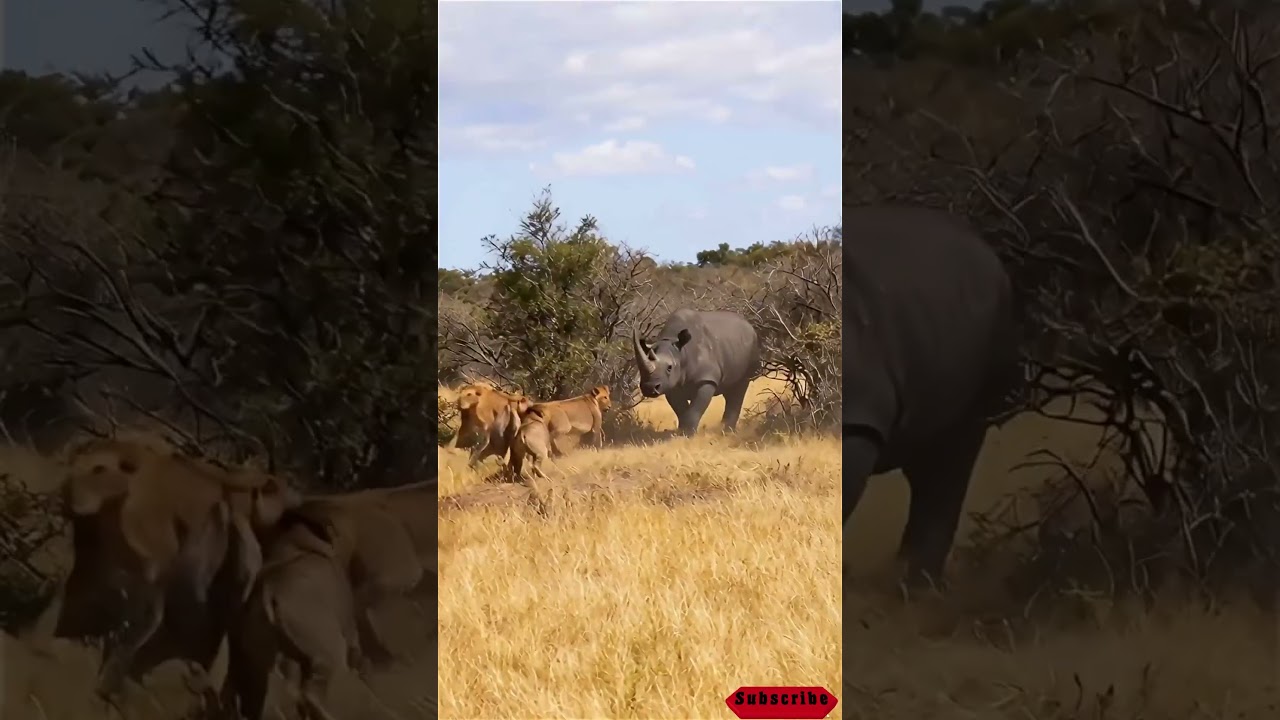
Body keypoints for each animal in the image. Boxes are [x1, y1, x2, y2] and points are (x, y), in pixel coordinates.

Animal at [633, 309, 762, 436]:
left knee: (740, 387)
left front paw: (688, 435)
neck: (681, 353)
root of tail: (749, 325)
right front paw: (682, 433)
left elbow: (695, 410)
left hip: (751, 351)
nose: (649, 388)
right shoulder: (671, 384)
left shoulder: (706, 379)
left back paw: (727, 433)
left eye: (669, 367)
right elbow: (681, 410)